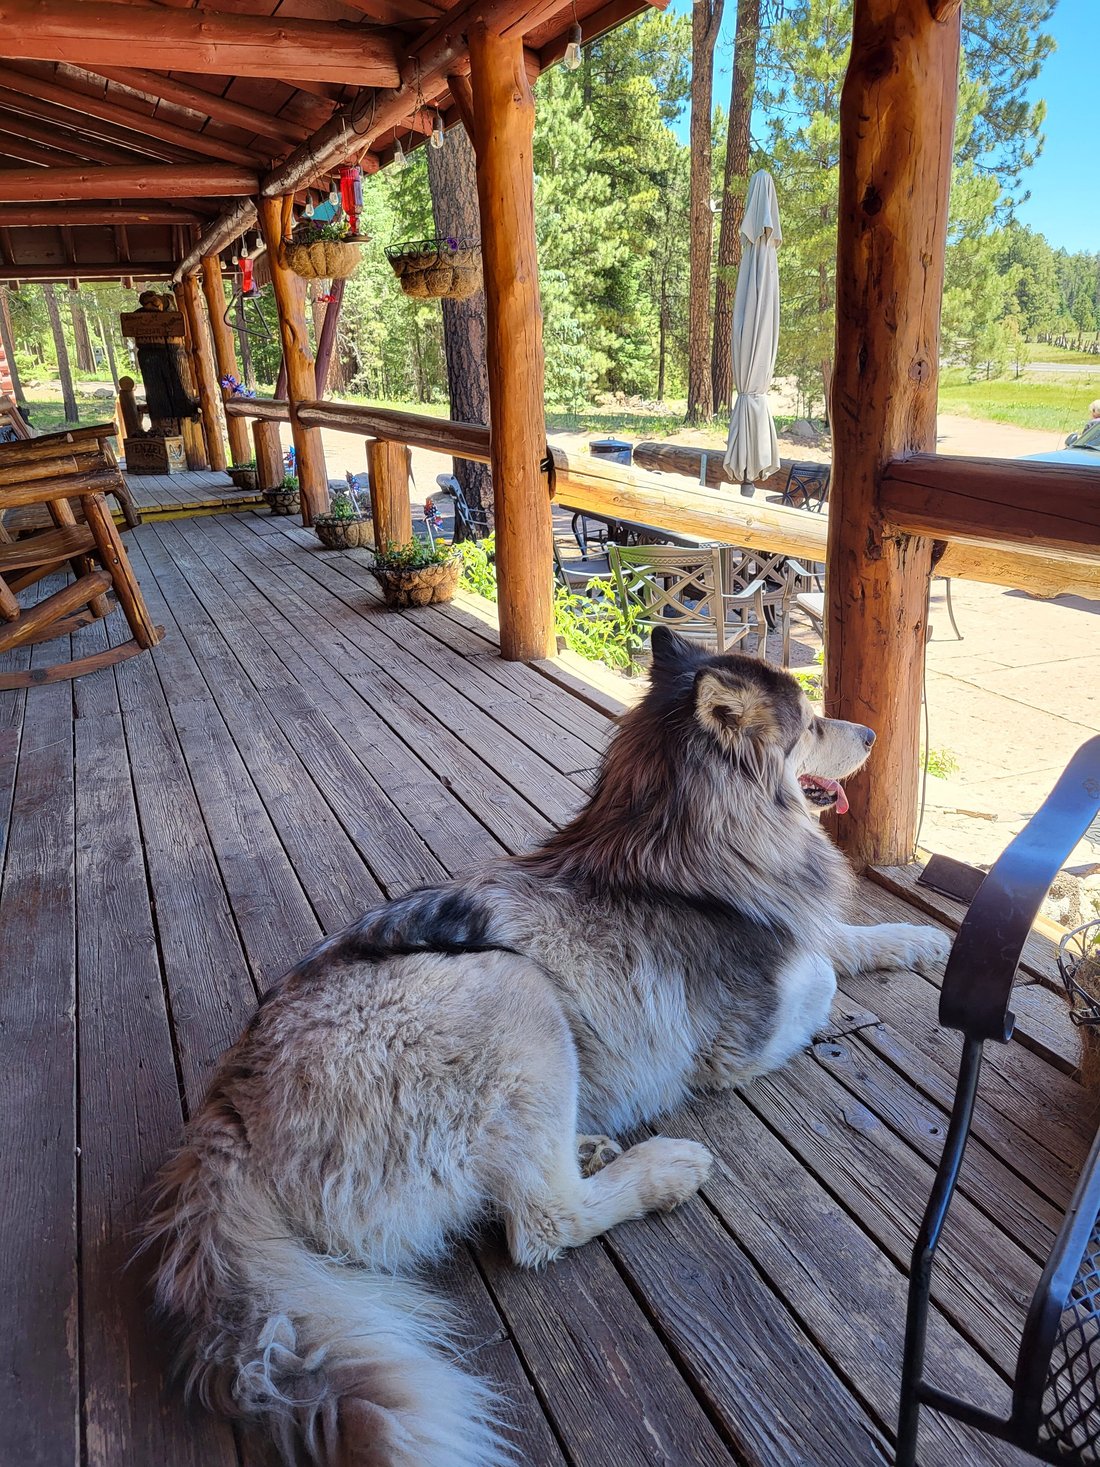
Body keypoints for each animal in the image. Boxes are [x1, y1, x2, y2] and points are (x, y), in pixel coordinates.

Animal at [146, 630, 950, 1467]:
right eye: (812, 721)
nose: (873, 733)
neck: (678, 835)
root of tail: (228, 1113)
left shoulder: (796, 930)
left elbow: (842, 939)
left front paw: (924, 941)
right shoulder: (740, 1038)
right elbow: (820, 976)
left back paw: (590, 1144)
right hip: (516, 992)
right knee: (543, 1222)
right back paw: (659, 1168)